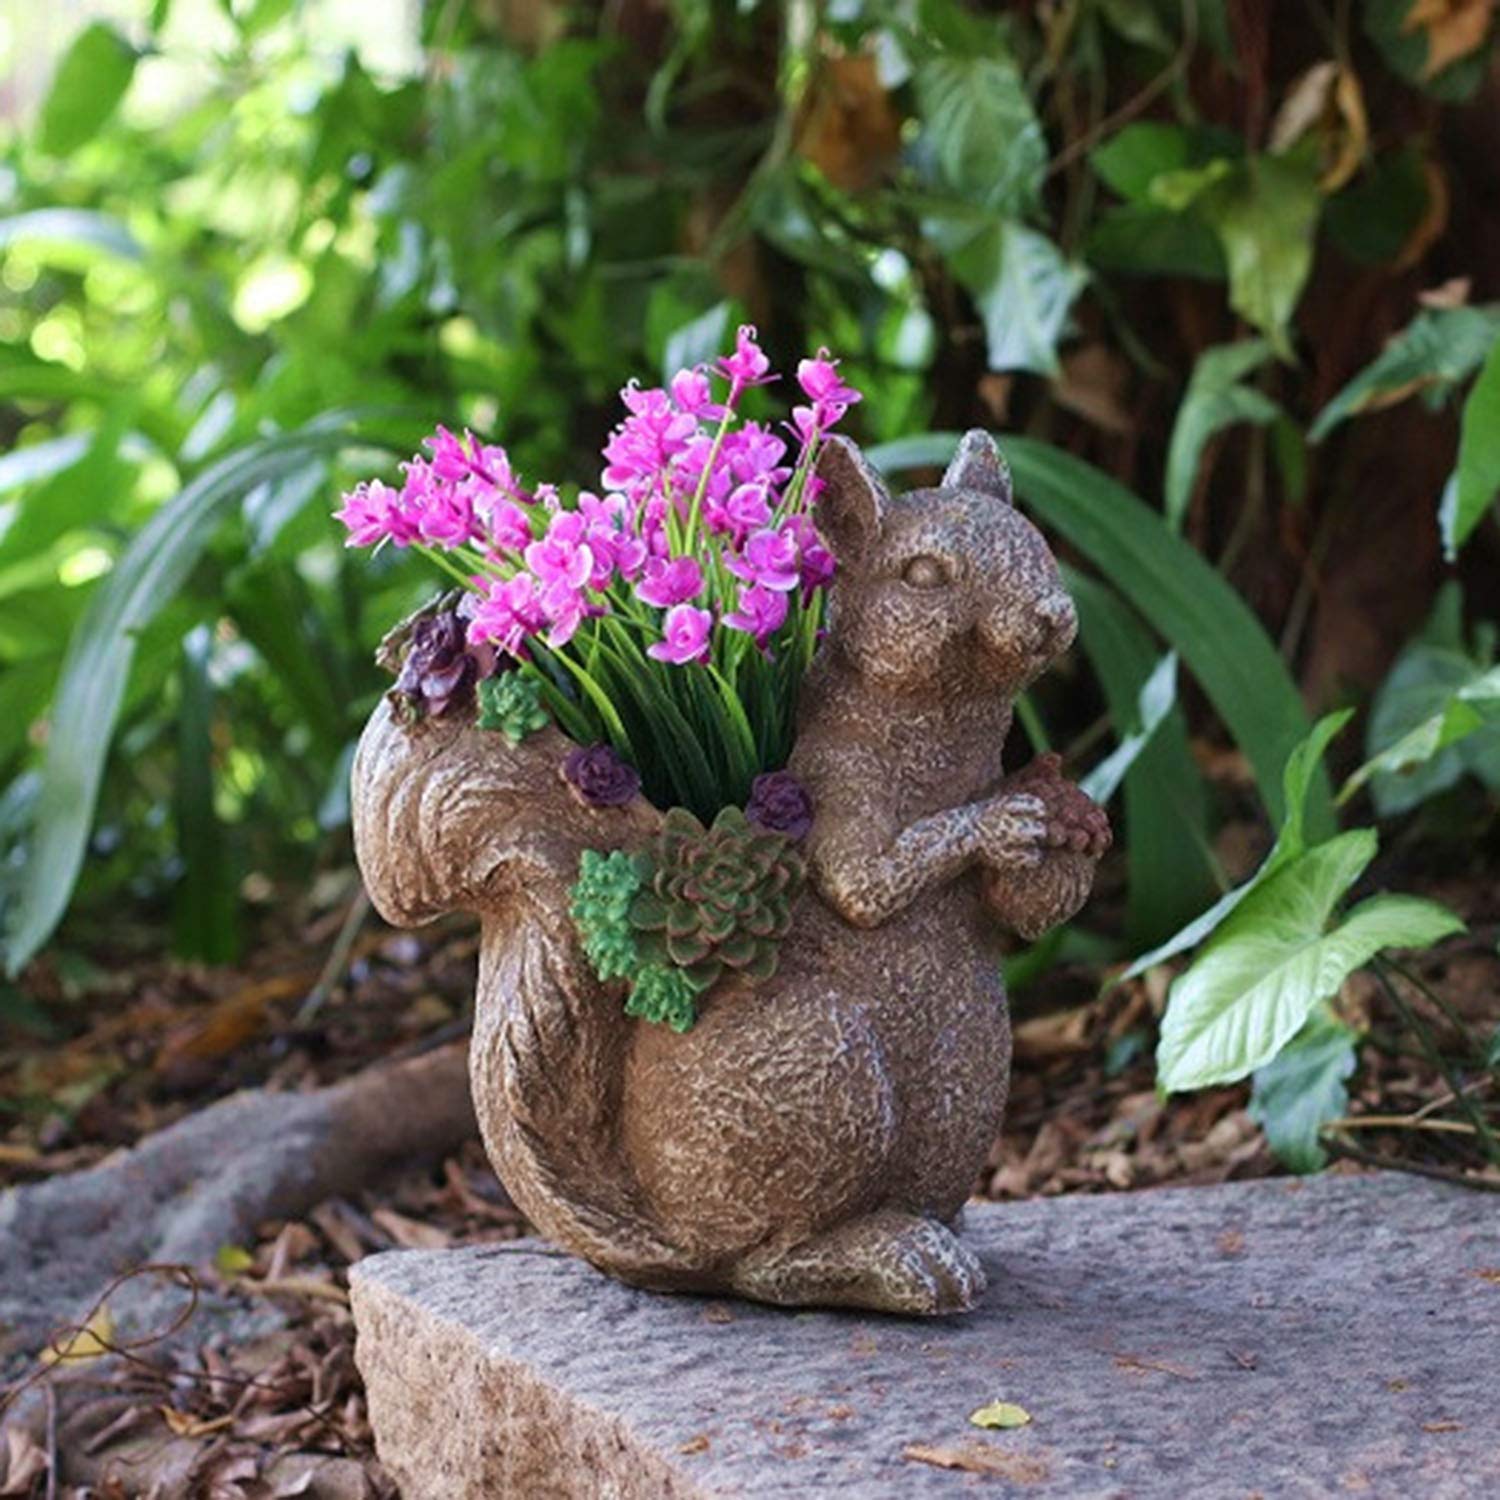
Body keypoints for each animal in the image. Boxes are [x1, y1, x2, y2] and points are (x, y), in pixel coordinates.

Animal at [351, 430, 1109, 1316]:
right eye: (923, 575)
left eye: (1035, 544)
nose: (1052, 616)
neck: (945, 738)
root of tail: (682, 1246)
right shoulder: (836, 786)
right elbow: (868, 884)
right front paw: (1001, 821)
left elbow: (1024, 913)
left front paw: (1069, 820)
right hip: (828, 1082)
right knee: (770, 1265)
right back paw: (892, 1259)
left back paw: (934, 1239)